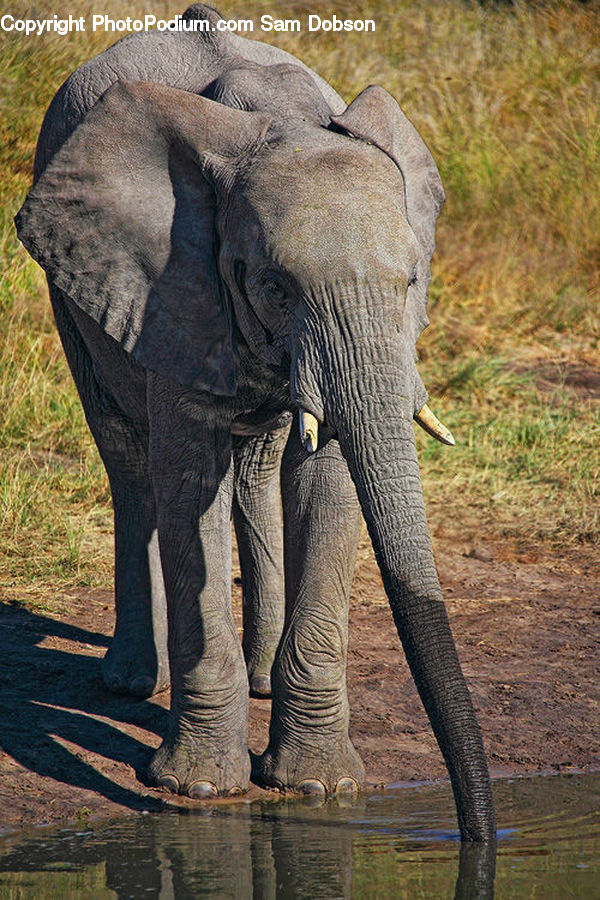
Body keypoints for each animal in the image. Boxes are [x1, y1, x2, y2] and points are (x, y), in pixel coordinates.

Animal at [15, 4, 496, 841]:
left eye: (411, 282)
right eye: (274, 286)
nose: (475, 837)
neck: (279, 125)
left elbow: (328, 478)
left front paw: (321, 787)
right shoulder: (173, 284)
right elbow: (186, 484)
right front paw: (200, 789)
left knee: (260, 462)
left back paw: (263, 674)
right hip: (71, 284)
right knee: (128, 459)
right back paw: (134, 681)